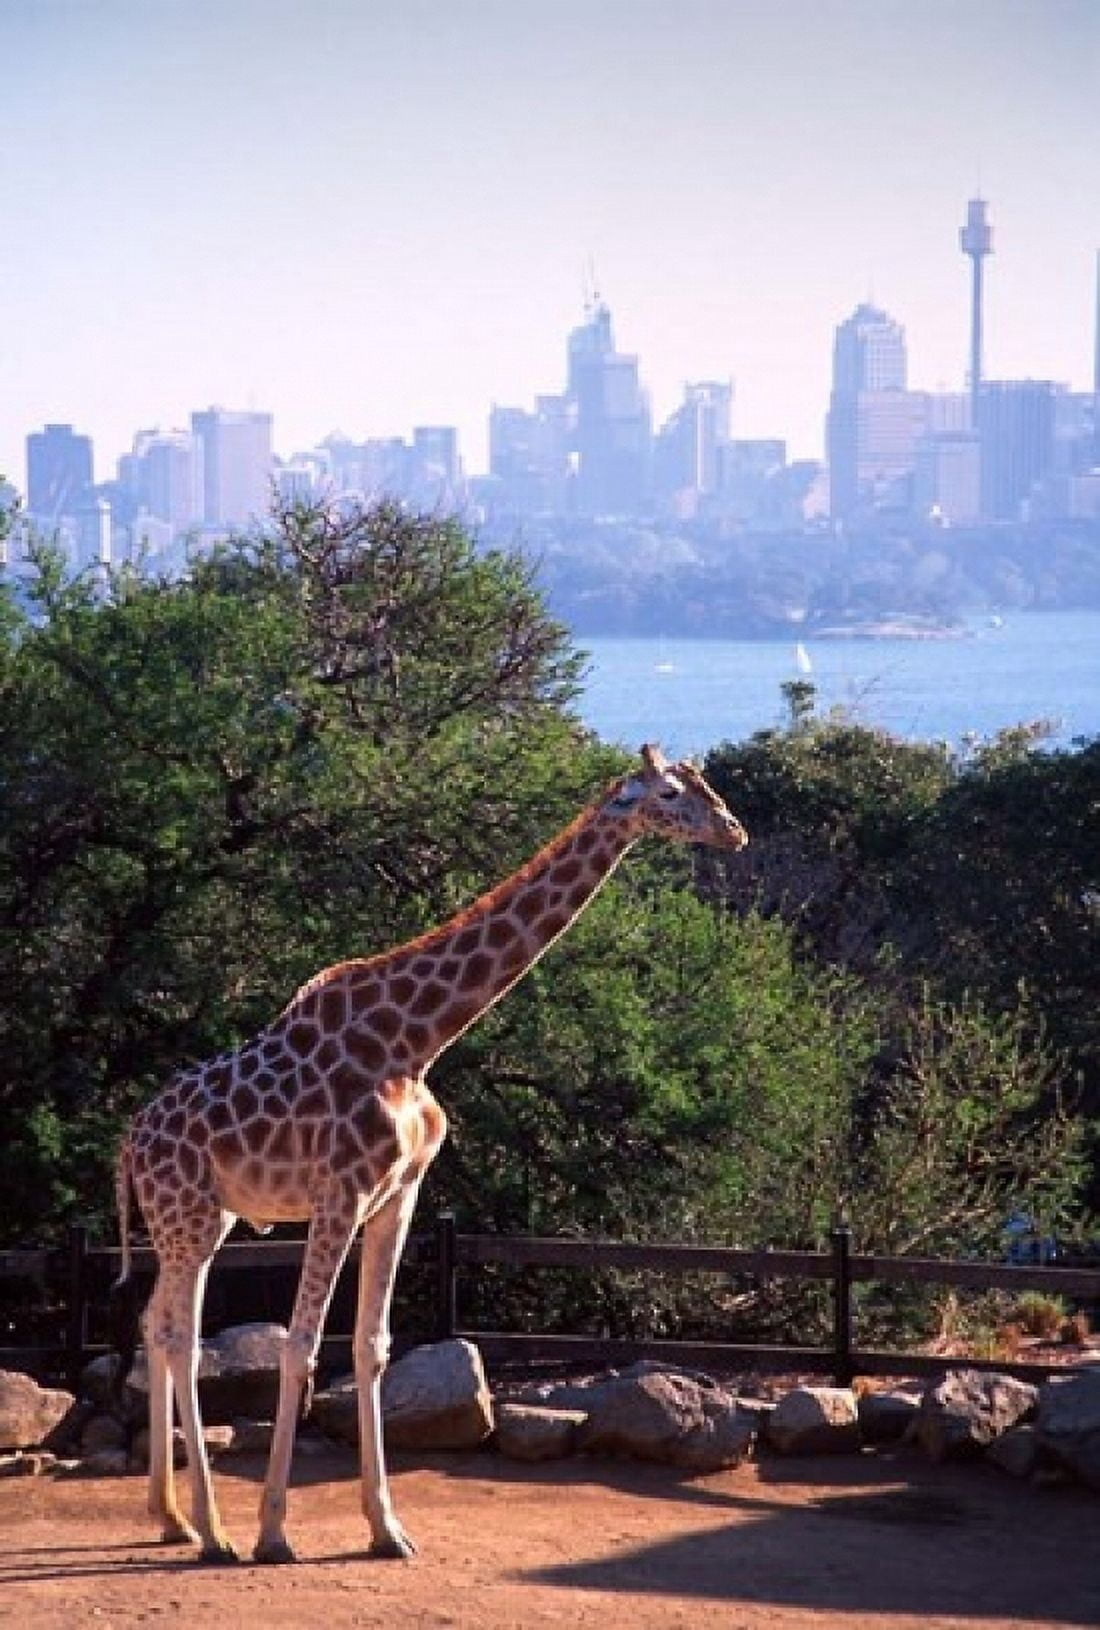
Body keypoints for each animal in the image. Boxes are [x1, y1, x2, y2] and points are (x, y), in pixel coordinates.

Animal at [112, 743, 747, 1565]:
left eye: (705, 788)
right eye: (671, 794)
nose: (733, 830)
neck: (415, 1041)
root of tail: (130, 1140)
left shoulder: (398, 1195)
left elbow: (372, 1345)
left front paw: (386, 1528)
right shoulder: (340, 1192)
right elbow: (302, 1345)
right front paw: (276, 1531)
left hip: (203, 1219)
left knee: (154, 1324)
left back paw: (173, 1517)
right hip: (185, 1216)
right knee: (180, 1339)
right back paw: (216, 1533)